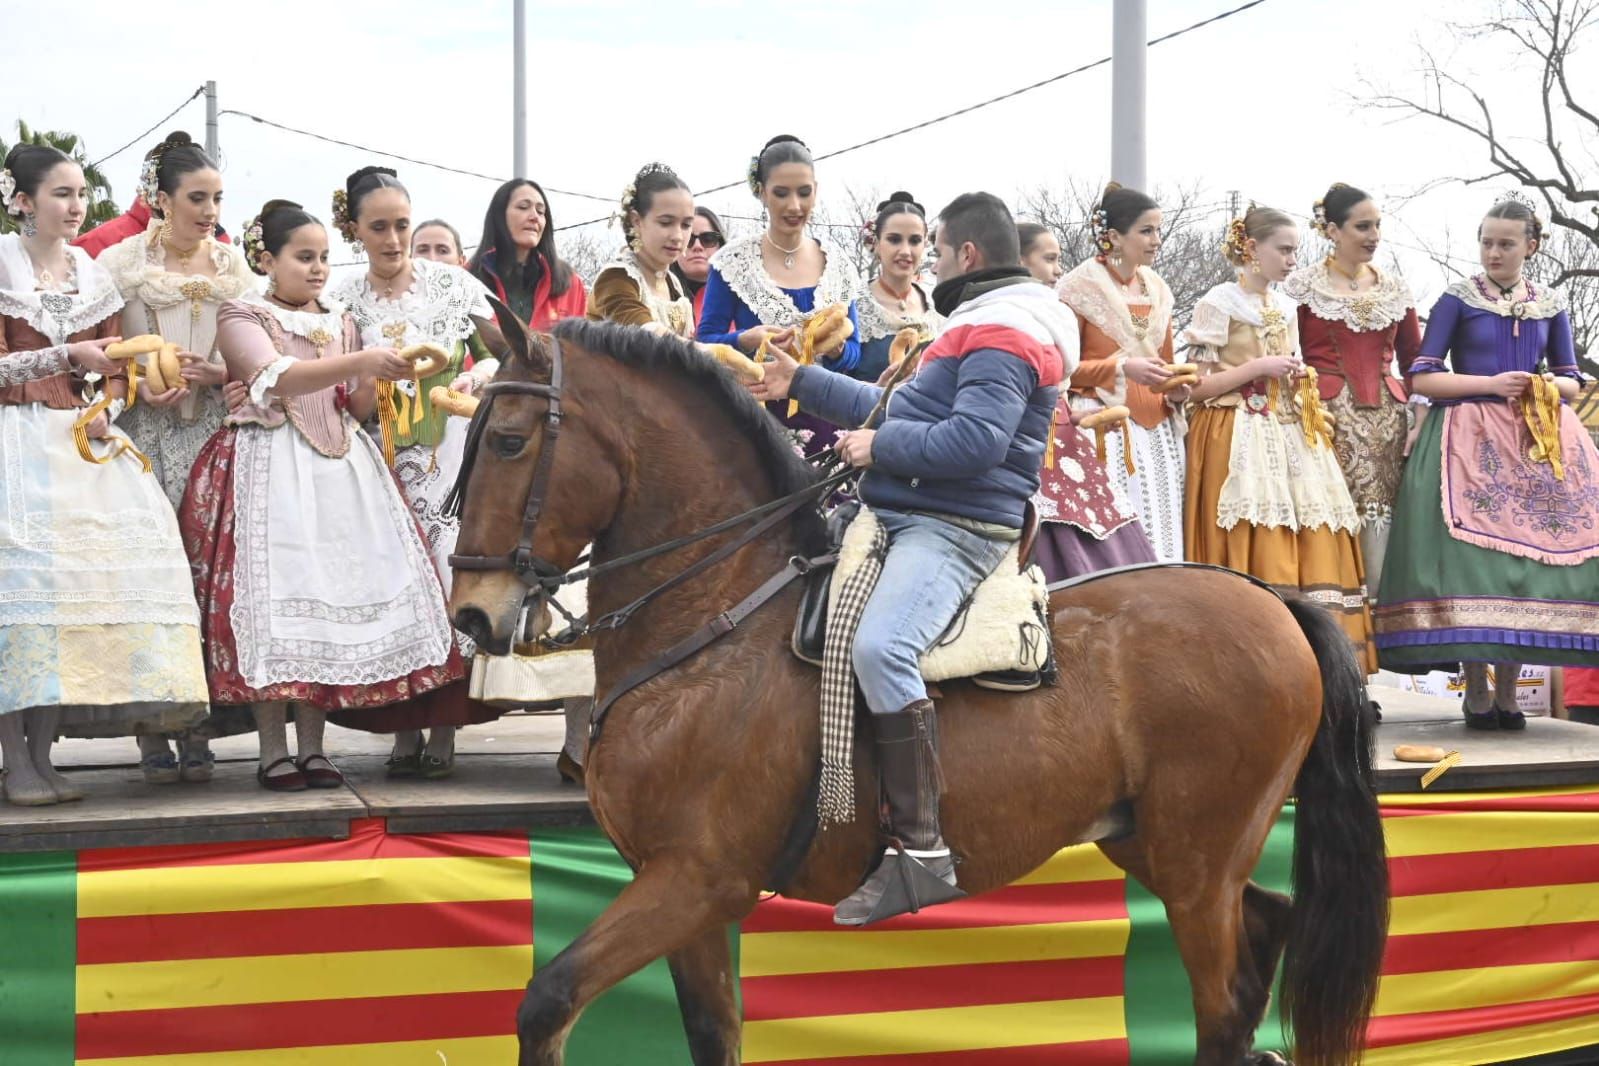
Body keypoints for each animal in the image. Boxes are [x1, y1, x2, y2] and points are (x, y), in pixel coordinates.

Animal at [450, 316, 1387, 1066]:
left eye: (508, 442)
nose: (472, 613)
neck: (717, 616)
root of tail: (1268, 599)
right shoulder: (686, 897)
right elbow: (713, 1037)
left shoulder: (695, 880)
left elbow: (547, 1001)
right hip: (1154, 845)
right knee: (1264, 928)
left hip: (1198, 864)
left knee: (1222, 1002)